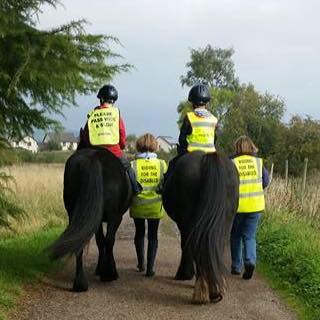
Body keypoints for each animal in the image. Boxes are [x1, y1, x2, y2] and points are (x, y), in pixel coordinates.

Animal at [49, 149, 131, 292]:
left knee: (79, 241)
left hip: (75, 214)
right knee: (109, 240)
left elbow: (99, 241)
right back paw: (109, 275)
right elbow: (106, 241)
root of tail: (94, 156)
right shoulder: (116, 217)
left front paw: (99, 268)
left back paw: (80, 283)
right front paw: (106, 270)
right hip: (114, 216)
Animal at [162, 151, 240, 304]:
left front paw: (185, 274)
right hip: (226, 221)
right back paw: (215, 288)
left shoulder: (183, 224)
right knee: (217, 245)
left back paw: (202, 291)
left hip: (189, 221)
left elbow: (185, 245)